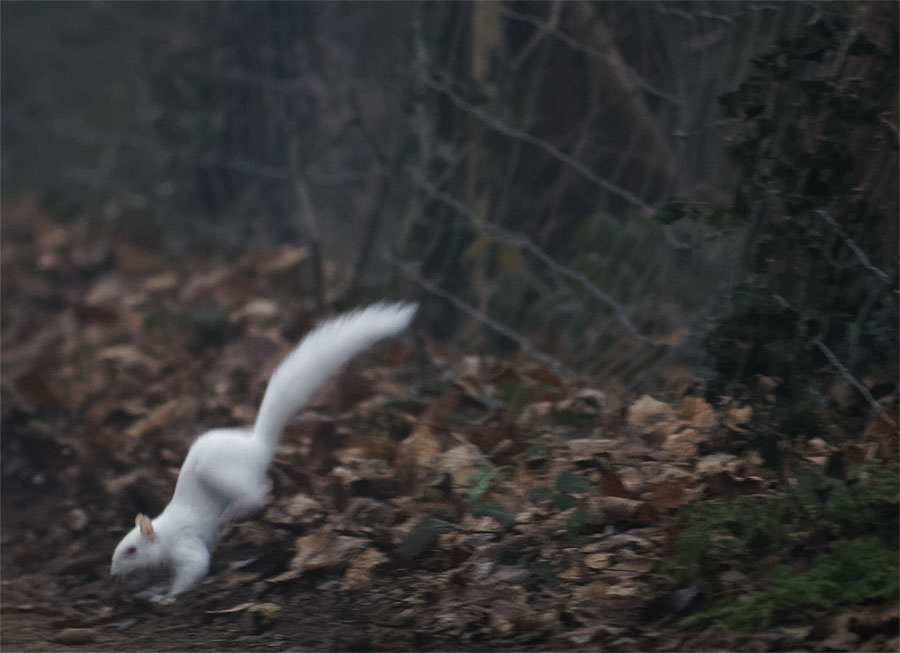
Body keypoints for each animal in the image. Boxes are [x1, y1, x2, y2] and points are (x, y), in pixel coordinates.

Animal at [110, 302, 417, 599]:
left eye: (131, 550)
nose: (112, 573)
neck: (164, 531)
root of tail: (257, 444)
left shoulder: (184, 544)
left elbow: (195, 567)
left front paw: (168, 596)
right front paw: (156, 589)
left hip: (222, 474)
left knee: (258, 493)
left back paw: (230, 514)